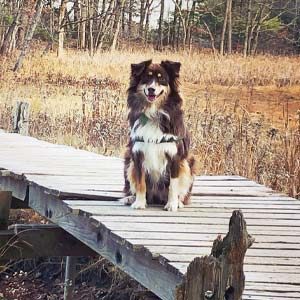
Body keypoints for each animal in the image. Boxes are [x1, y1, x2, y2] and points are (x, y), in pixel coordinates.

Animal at [123, 59, 196, 212]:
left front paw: (172, 204)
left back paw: (179, 202)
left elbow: (173, 185)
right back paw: (130, 197)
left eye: (161, 79)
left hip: (188, 163)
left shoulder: (175, 156)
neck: (153, 113)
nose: (151, 89)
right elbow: (140, 182)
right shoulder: (137, 154)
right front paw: (139, 202)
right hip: (128, 162)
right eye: (147, 77)